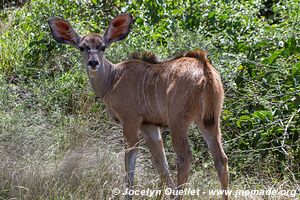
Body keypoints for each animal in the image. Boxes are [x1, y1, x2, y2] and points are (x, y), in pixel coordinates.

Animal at [48, 13, 229, 199]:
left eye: (103, 47)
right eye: (82, 48)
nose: (93, 63)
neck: (113, 79)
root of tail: (204, 69)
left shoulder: (130, 121)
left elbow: (130, 162)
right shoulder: (149, 126)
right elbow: (160, 163)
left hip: (178, 121)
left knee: (185, 157)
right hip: (209, 120)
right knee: (220, 158)